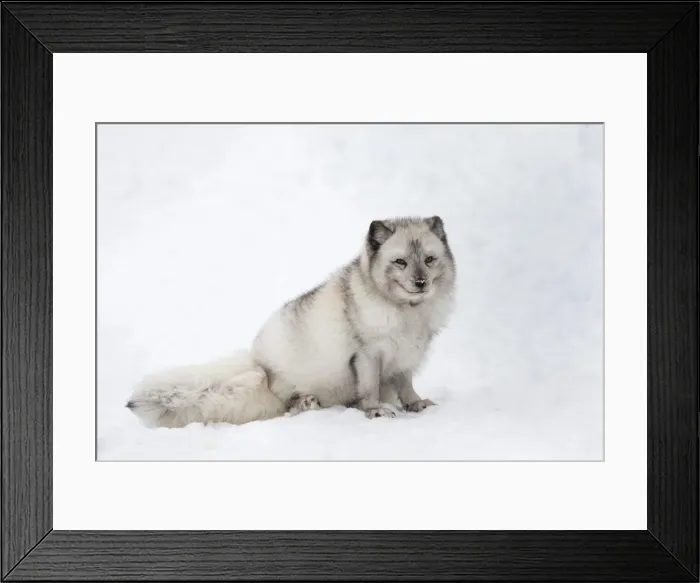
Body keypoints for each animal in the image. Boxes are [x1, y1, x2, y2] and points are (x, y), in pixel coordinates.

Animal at [127, 215, 456, 428]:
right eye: (400, 262)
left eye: (429, 260)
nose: (421, 282)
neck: (407, 313)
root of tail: (260, 365)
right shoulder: (366, 354)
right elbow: (369, 389)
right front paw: (374, 411)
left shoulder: (406, 357)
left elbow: (406, 386)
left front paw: (415, 404)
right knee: (286, 407)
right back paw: (307, 403)